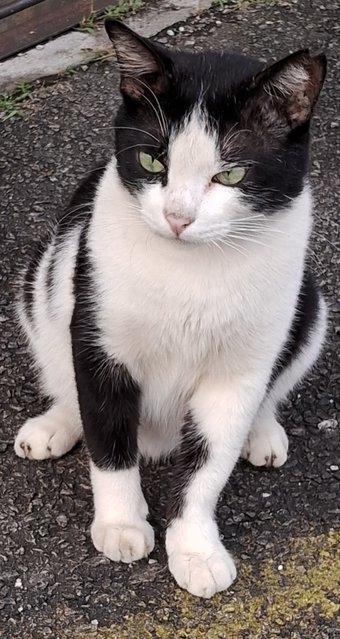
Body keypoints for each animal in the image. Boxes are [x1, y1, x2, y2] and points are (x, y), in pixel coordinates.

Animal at [13, 20, 326, 600]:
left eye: (231, 175)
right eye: (153, 160)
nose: (179, 217)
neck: (189, 271)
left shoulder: (235, 377)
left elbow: (208, 466)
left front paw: (195, 548)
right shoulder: (99, 340)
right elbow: (108, 440)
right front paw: (120, 524)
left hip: (310, 303)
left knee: (275, 383)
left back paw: (262, 431)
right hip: (40, 283)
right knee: (67, 380)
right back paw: (55, 424)